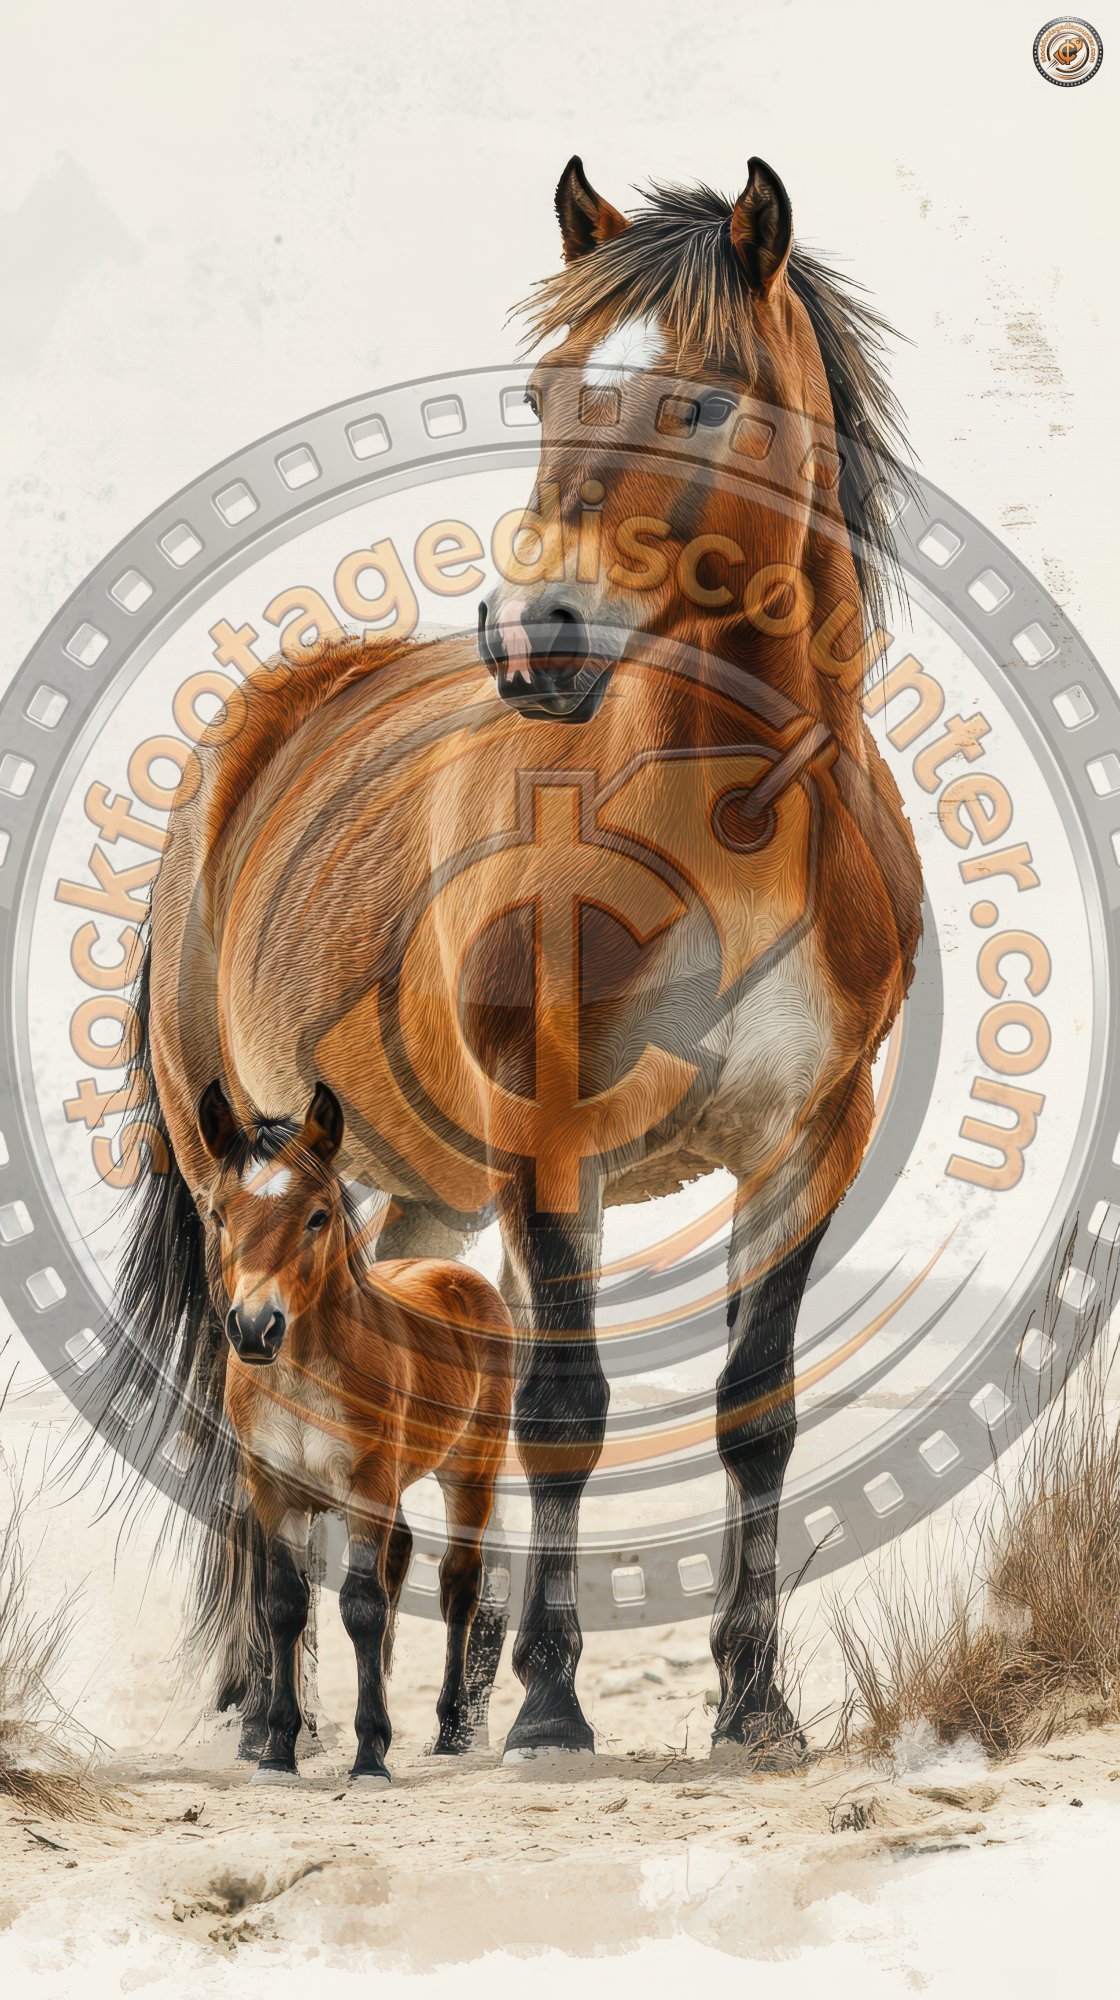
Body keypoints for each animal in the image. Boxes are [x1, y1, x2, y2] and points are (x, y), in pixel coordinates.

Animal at [195, 1075, 512, 1786]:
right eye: (220, 1215)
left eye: (317, 1216)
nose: (254, 1328)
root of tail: (461, 1277)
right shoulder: (274, 1491)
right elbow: (286, 1605)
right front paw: (277, 1751)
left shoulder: (365, 1486)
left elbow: (362, 1607)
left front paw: (370, 1757)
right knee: (405, 1558)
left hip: (470, 1470)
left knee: (458, 1582)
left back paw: (449, 1728)